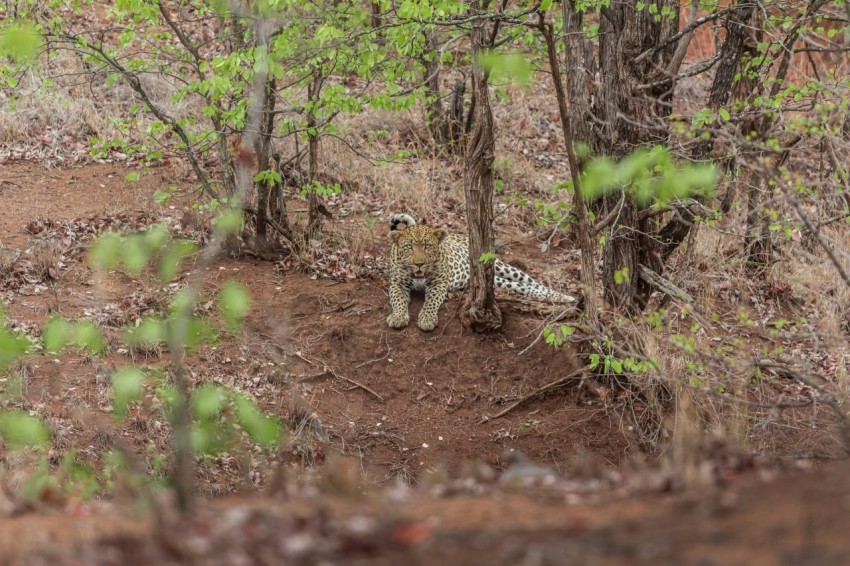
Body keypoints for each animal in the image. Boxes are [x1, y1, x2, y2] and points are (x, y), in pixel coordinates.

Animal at [386, 213, 576, 331]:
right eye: (409, 247)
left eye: (428, 246)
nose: (419, 264)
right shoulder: (397, 283)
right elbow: (398, 300)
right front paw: (398, 317)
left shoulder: (439, 283)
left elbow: (431, 301)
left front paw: (426, 319)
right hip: (495, 280)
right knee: (521, 286)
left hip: (501, 266)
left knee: (531, 282)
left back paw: (565, 297)